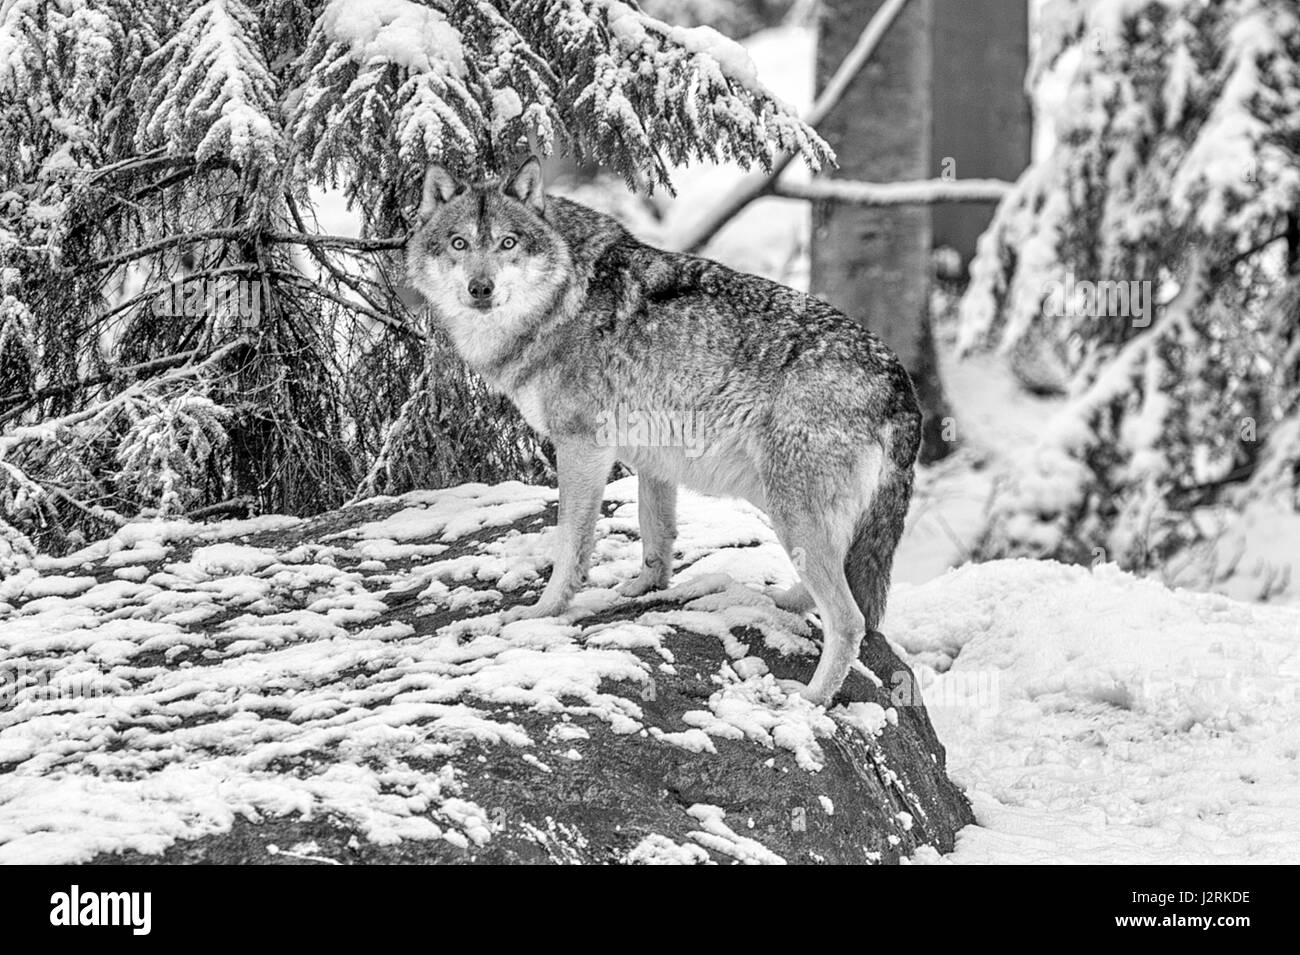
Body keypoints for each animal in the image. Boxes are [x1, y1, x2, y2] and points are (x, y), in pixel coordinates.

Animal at [405, 158, 925, 712]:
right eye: (459, 243)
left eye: (508, 243)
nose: (480, 289)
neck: (563, 297)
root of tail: (899, 380)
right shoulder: (652, 458)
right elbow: (656, 535)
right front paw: (642, 589)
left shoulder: (581, 446)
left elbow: (571, 541)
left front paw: (544, 611)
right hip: (789, 508)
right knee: (837, 588)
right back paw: (778, 599)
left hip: (789, 508)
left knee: (850, 620)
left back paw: (807, 698)